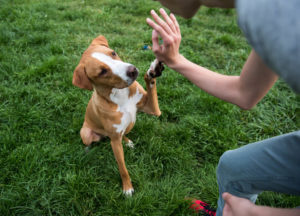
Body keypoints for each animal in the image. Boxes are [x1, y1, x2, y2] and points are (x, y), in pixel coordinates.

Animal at [72, 35, 164, 196]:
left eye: (113, 53)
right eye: (102, 71)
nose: (132, 71)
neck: (120, 94)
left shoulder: (153, 110)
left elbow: (151, 86)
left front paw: (153, 70)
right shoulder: (114, 142)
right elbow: (123, 168)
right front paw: (127, 188)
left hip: (129, 124)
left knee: (124, 134)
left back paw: (127, 141)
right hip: (86, 133)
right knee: (91, 141)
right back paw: (88, 150)